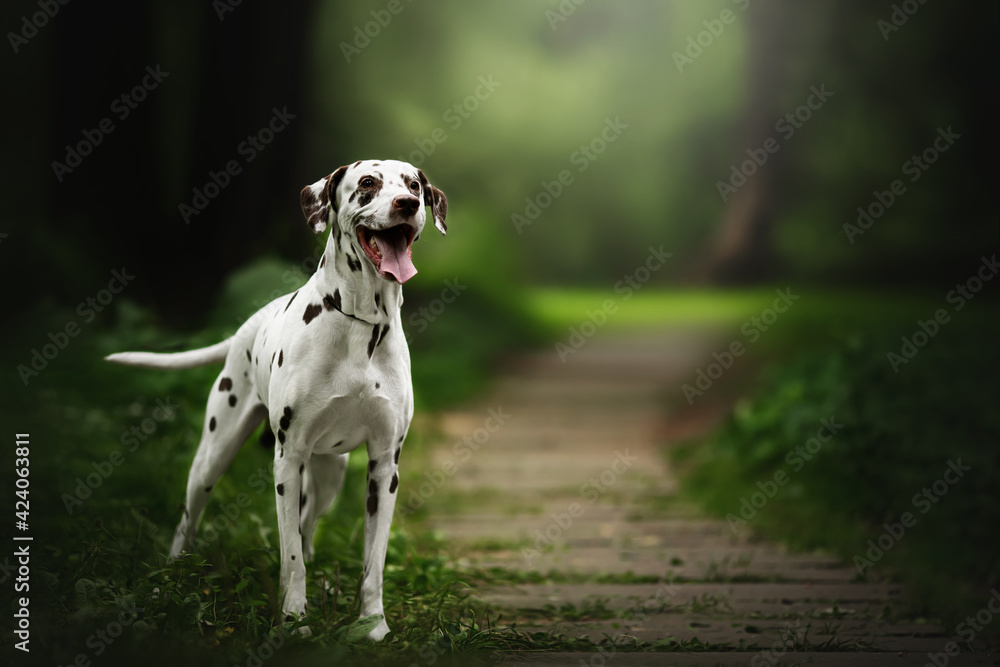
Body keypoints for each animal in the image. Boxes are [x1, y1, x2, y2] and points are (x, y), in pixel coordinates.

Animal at [107, 159, 448, 640]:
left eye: (414, 185)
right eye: (368, 183)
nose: (407, 204)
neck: (361, 323)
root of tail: (247, 325)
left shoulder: (384, 467)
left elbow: (373, 562)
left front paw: (374, 625)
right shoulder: (287, 461)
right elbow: (289, 557)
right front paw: (294, 621)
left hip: (329, 475)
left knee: (306, 529)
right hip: (214, 455)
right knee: (189, 518)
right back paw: (172, 575)